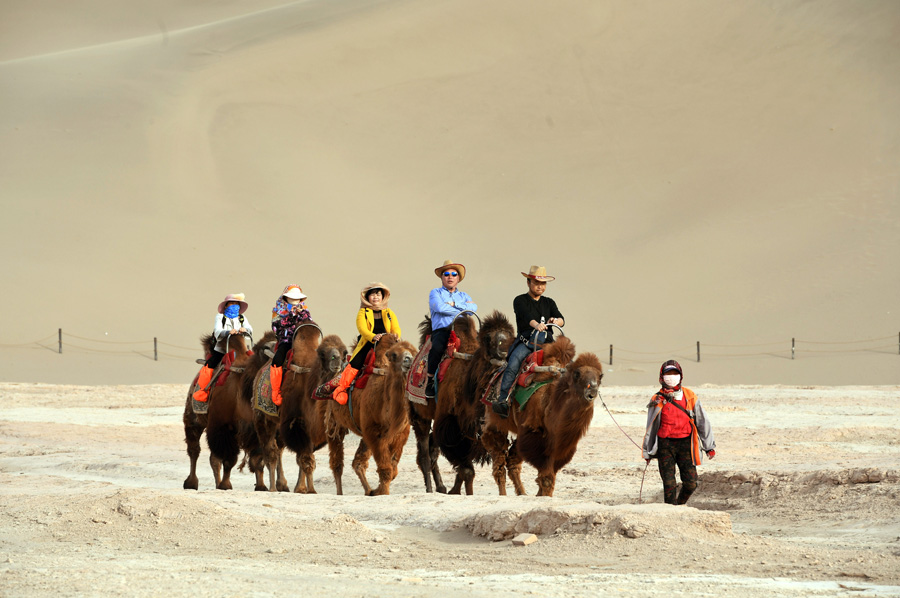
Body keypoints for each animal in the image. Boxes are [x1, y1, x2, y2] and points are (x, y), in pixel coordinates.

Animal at [280, 336, 346, 494]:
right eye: (322, 354)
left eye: (344, 352)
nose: (336, 359)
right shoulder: (296, 427)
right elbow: (306, 460)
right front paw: (310, 490)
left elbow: (306, 460)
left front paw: (301, 488)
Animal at [326, 338, 418, 496]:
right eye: (394, 355)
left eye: (414, 352)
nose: (408, 360)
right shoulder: (374, 433)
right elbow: (386, 470)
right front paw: (383, 492)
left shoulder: (400, 434)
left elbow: (393, 470)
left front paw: (376, 491)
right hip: (334, 423)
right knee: (337, 462)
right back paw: (340, 493)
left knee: (358, 463)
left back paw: (368, 490)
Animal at [478, 338, 596, 496]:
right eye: (577, 374)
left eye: (600, 376)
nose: (592, 391)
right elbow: (546, 476)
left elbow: (546, 476)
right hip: (495, 421)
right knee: (499, 462)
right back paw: (504, 494)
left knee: (512, 461)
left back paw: (522, 493)